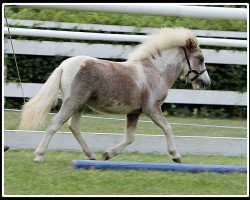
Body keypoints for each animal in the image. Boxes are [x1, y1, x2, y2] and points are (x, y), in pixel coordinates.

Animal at [20, 27, 211, 163]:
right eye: (201, 58)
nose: (206, 83)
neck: (155, 71)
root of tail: (64, 66)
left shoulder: (134, 112)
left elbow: (130, 137)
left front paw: (107, 154)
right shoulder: (152, 108)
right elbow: (167, 127)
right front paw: (176, 156)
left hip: (80, 104)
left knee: (73, 127)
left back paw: (91, 156)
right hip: (73, 101)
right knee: (55, 123)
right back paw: (39, 155)